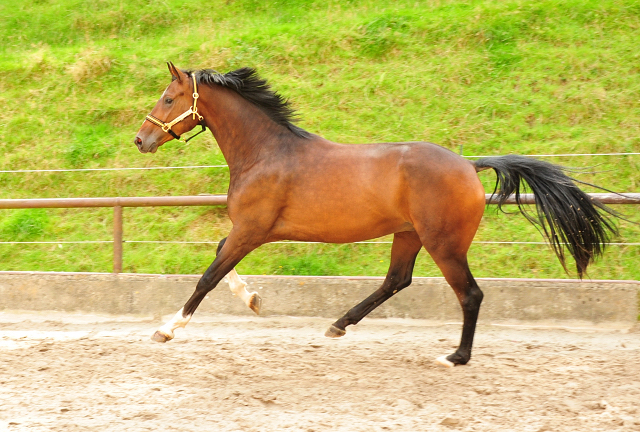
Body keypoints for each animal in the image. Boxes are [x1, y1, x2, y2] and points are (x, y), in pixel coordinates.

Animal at [132, 62, 616, 366]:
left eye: (169, 97)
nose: (141, 140)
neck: (267, 152)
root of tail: (468, 165)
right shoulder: (250, 231)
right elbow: (220, 260)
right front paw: (253, 300)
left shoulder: (251, 229)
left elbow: (208, 275)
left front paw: (168, 329)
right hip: (408, 234)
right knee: (396, 280)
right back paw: (337, 326)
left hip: (443, 243)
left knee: (470, 295)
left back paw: (455, 357)